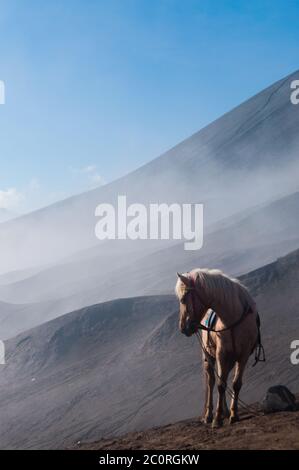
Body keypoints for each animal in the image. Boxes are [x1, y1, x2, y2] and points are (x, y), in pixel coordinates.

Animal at [176, 268, 262, 426]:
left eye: (183, 299)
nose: (183, 328)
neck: (233, 319)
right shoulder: (221, 354)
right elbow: (220, 385)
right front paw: (216, 419)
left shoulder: (243, 356)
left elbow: (235, 384)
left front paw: (233, 414)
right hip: (209, 357)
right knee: (211, 382)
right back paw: (210, 415)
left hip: (230, 360)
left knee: (224, 379)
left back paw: (226, 412)